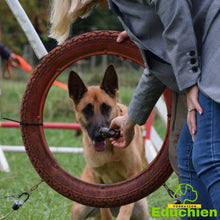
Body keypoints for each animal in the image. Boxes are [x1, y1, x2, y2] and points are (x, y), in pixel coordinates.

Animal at [67, 64, 150, 219]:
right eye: (87, 110)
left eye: (106, 107)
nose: (99, 135)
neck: (110, 150)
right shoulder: (99, 182)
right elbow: (105, 211)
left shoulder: (132, 176)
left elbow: (125, 211)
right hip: (80, 208)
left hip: (142, 208)